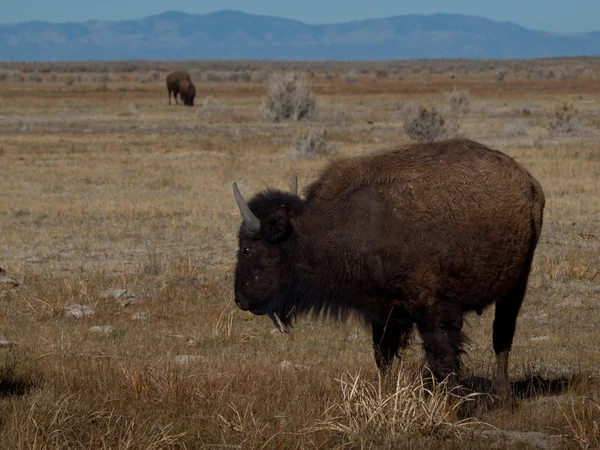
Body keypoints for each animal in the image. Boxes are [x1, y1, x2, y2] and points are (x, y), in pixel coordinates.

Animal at [232, 139, 548, 392]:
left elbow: (443, 359)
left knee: (502, 336)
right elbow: (382, 357)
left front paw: (450, 403)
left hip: (516, 286)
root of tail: (530, 184)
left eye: (247, 248)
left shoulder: (432, 311)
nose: (239, 299)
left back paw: (503, 395)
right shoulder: (383, 312)